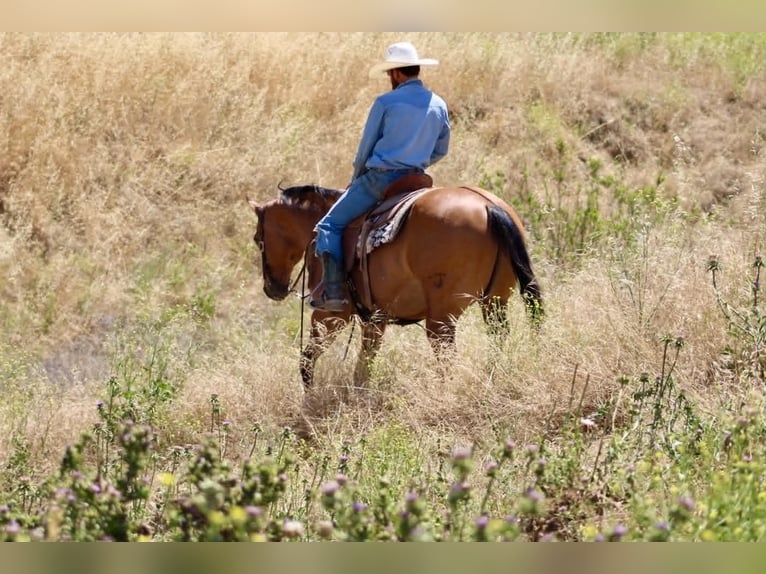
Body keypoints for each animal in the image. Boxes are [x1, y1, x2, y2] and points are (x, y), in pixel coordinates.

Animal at [249, 178, 542, 389]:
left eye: (258, 239)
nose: (272, 288)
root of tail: (488, 206)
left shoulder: (331, 315)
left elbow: (307, 360)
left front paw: (310, 399)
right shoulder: (375, 319)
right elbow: (363, 368)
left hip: (442, 318)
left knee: (446, 355)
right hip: (495, 301)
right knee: (498, 337)